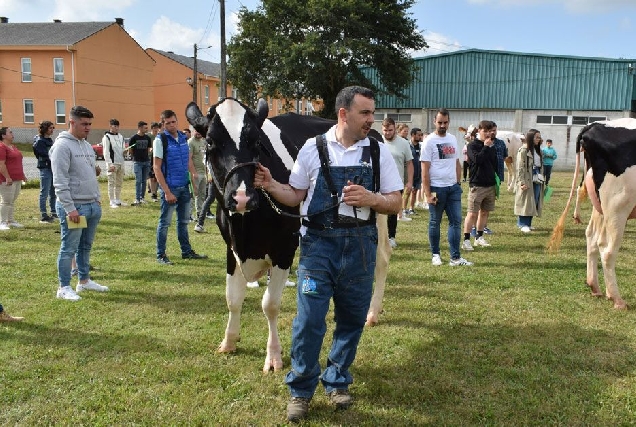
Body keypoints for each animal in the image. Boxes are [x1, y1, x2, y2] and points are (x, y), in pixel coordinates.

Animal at [548, 118, 636, 310]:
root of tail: (594, 125)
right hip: (617, 205)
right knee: (608, 250)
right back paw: (616, 299)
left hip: (600, 204)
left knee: (592, 236)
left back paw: (594, 286)